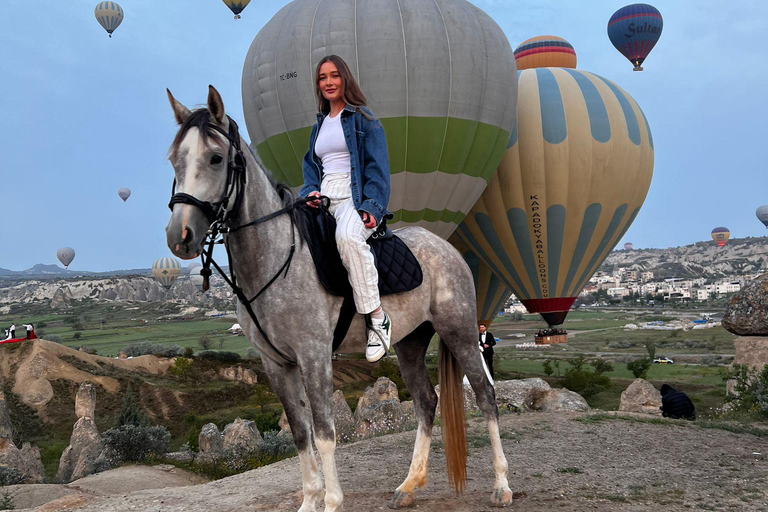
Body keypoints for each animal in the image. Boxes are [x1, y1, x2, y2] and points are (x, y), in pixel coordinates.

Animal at [165, 86, 512, 510]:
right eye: (175, 159)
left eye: (215, 157)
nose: (180, 235)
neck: (275, 259)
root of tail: (446, 248)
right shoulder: (275, 364)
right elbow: (301, 434)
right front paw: (309, 500)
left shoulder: (314, 356)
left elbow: (325, 433)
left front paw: (330, 501)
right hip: (411, 343)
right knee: (427, 402)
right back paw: (409, 485)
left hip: (459, 332)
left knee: (485, 395)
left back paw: (501, 485)